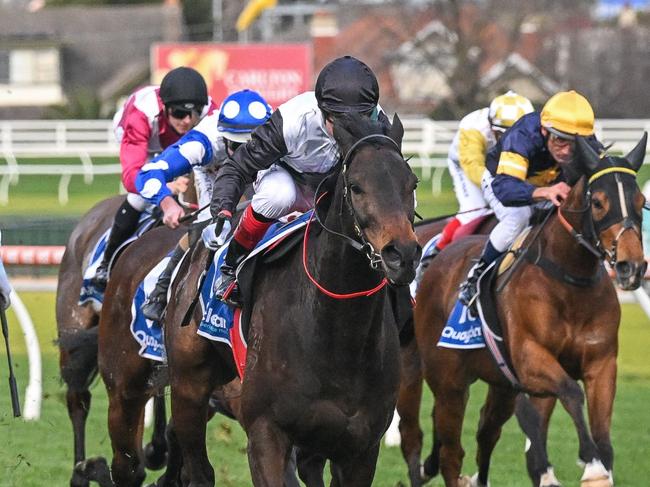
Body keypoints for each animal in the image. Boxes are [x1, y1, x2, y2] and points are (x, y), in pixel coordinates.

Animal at [163, 112, 420, 486]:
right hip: (188, 387)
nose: (402, 255)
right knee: (198, 469)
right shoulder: (266, 434)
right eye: (356, 186)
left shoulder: (360, 448)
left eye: (411, 184)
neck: (338, 334)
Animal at [394, 134, 644, 487]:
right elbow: (569, 393)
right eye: (598, 203)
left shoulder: (601, 362)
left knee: (484, 432)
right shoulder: (530, 358)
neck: (569, 278)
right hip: (441, 378)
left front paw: (596, 466)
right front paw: (588, 463)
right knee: (433, 443)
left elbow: (600, 431)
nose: (630, 266)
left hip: (497, 384)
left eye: (641, 200)